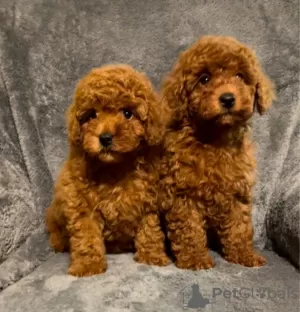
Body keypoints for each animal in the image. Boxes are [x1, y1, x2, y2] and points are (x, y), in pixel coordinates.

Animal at [45, 64, 170, 276]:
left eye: (127, 113)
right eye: (91, 115)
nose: (104, 137)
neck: (114, 168)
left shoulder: (147, 200)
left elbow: (149, 229)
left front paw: (152, 256)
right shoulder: (81, 204)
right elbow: (86, 237)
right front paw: (88, 265)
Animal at [161, 36, 276, 270]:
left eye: (240, 76)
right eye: (204, 79)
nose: (228, 98)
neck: (215, 140)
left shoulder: (237, 191)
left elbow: (240, 226)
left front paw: (244, 254)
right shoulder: (183, 194)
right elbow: (189, 229)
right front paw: (195, 258)